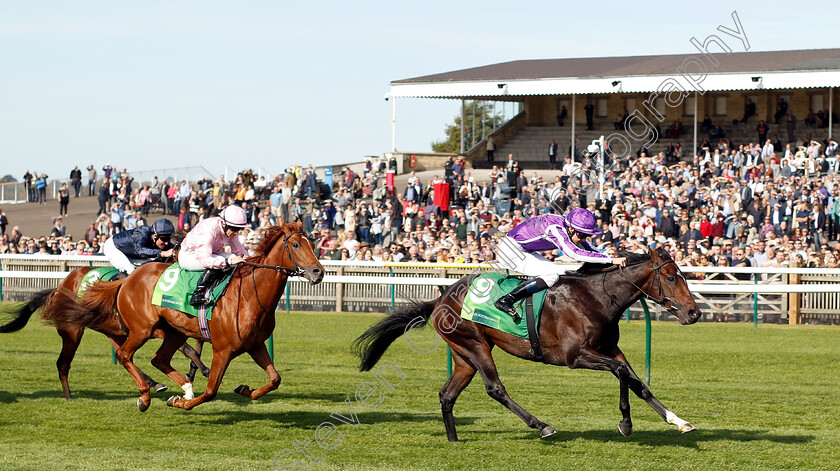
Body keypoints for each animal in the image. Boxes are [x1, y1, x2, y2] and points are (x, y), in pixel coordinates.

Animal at [0, 268, 208, 400]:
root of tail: (59, 288)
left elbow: (193, 344)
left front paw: (199, 370)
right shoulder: (156, 328)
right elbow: (188, 348)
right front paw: (199, 371)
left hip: (112, 331)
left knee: (123, 356)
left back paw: (153, 382)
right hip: (73, 333)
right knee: (63, 363)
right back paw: (68, 396)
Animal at [41, 223, 324, 412]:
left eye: (312, 243)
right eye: (296, 244)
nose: (318, 272)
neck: (249, 295)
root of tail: (127, 280)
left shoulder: (255, 344)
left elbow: (275, 379)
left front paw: (245, 389)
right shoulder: (223, 349)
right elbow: (210, 391)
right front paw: (181, 402)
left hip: (172, 331)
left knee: (158, 359)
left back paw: (182, 388)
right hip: (138, 329)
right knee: (122, 355)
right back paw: (146, 396)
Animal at [354, 251, 704, 442]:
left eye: (683, 275)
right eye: (671, 278)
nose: (694, 313)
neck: (597, 298)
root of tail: (440, 299)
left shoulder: (609, 349)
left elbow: (636, 381)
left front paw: (678, 421)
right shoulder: (576, 356)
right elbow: (621, 373)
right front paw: (626, 424)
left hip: (464, 356)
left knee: (446, 394)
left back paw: (453, 440)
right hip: (476, 345)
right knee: (495, 389)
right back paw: (541, 425)